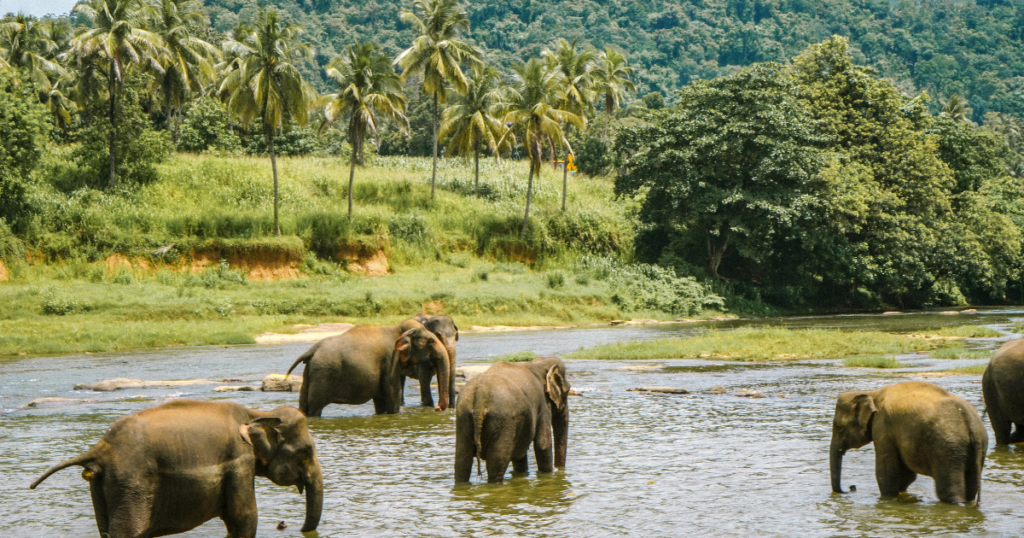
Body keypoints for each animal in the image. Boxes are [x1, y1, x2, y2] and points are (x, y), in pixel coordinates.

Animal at [30, 399, 322, 538]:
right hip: (132, 482)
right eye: (306, 451)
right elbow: (244, 519)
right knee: (130, 531)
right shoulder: (239, 460)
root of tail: (100, 448)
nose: (292, 527)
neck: (255, 413)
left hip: (102, 484)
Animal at [286, 319, 450, 417]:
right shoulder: (390, 361)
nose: (437, 408)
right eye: (430, 341)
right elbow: (393, 394)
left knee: (304, 405)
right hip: (323, 375)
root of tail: (312, 350)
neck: (397, 329)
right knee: (315, 408)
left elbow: (380, 399)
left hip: (310, 373)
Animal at [830, 381, 987, 505]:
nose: (851, 487)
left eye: (839, 427)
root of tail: (971, 423)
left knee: (949, 492)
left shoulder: (883, 427)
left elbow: (887, 471)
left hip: (948, 450)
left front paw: (887, 499)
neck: (872, 394)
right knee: (971, 489)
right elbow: (907, 474)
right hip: (976, 448)